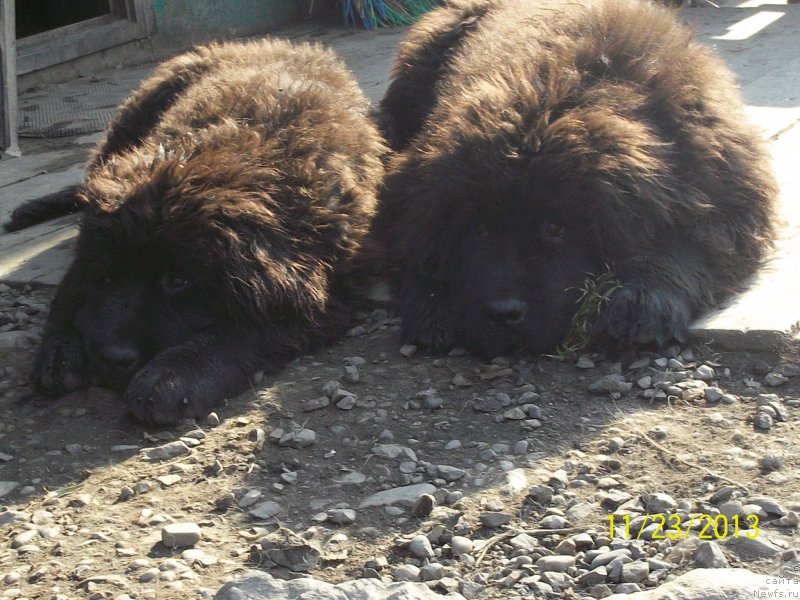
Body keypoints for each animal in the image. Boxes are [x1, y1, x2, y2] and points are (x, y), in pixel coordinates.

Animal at [10, 39, 386, 424]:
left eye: (177, 280)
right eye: (108, 276)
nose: (112, 358)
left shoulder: (325, 283)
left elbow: (247, 327)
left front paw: (171, 376)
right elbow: (71, 288)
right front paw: (60, 349)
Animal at [378, 0, 780, 358]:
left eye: (556, 228)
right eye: (478, 229)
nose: (503, 313)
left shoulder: (721, 189)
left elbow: (687, 245)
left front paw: (640, 303)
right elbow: (413, 240)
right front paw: (433, 302)